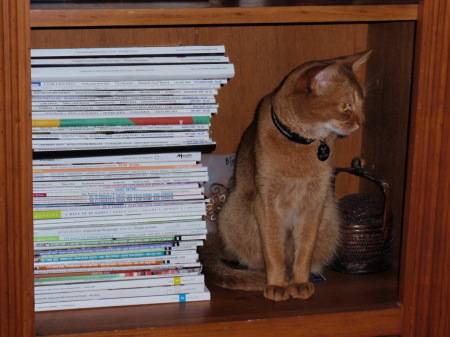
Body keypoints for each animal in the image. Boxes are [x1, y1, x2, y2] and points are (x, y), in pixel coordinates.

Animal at [200, 51, 372, 300]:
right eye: (345, 105)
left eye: (361, 104)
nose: (362, 123)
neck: (302, 142)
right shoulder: (266, 202)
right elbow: (273, 250)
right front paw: (278, 285)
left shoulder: (315, 202)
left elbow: (305, 249)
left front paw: (299, 282)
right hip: (234, 211)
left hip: (331, 217)